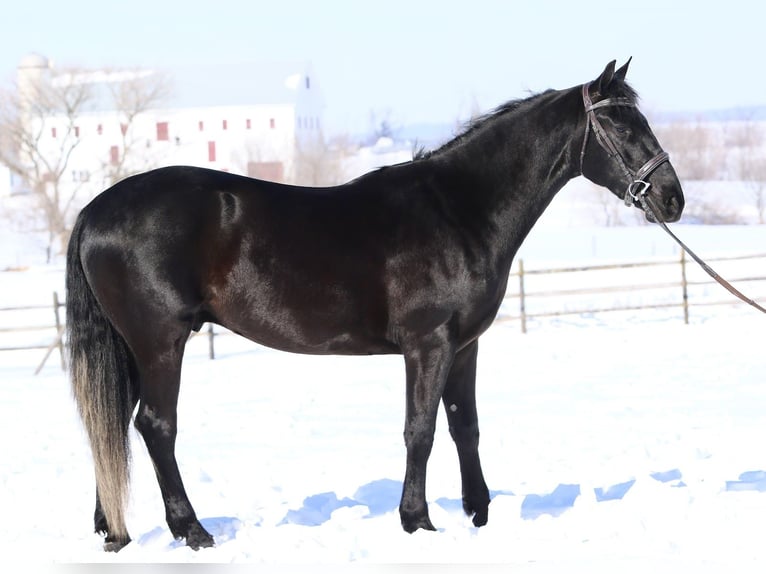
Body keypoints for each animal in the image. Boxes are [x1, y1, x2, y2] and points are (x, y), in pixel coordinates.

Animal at [66, 59, 684, 552]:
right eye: (619, 124)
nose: (672, 198)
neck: (459, 210)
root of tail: (95, 209)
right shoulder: (428, 344)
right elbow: (421, 430)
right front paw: (417, 521)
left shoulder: (465, 346)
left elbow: (465, 426)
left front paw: (479, 514)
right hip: (160, 343)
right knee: (155, 426)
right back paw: (191, 531)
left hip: (131, 348)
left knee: (111, 424)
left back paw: (114, 531)